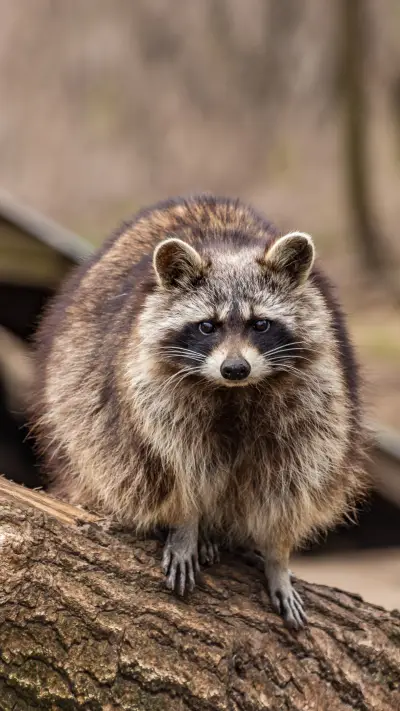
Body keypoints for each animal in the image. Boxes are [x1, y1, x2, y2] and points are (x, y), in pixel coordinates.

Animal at [32, 194, 368, 629]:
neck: (234, 393)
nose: (235, 368)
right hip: (74, 389)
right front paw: (186, 524)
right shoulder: (152, 391)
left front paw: (277, 556)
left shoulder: (317, 396)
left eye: (261, 324)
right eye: (208, 326)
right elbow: (175, 465)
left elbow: (291, 482)